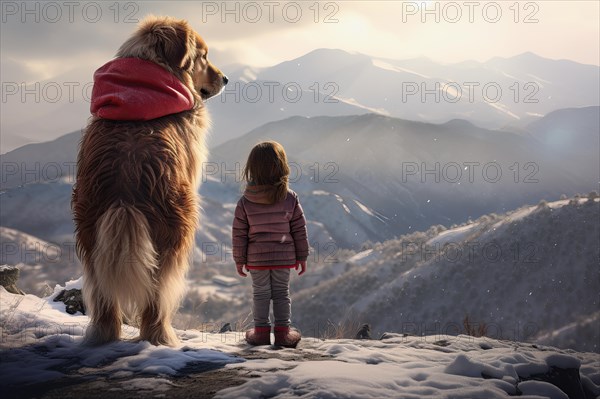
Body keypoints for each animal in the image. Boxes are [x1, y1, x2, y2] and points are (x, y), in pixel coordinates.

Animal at [72, 16, 227, 346]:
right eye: (203, 56)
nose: (225, 78)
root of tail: (125, 195)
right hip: (175, 236)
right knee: (157, 298)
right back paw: (162, 337)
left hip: (90, 235)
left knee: (103, 298)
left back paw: (103, 335)